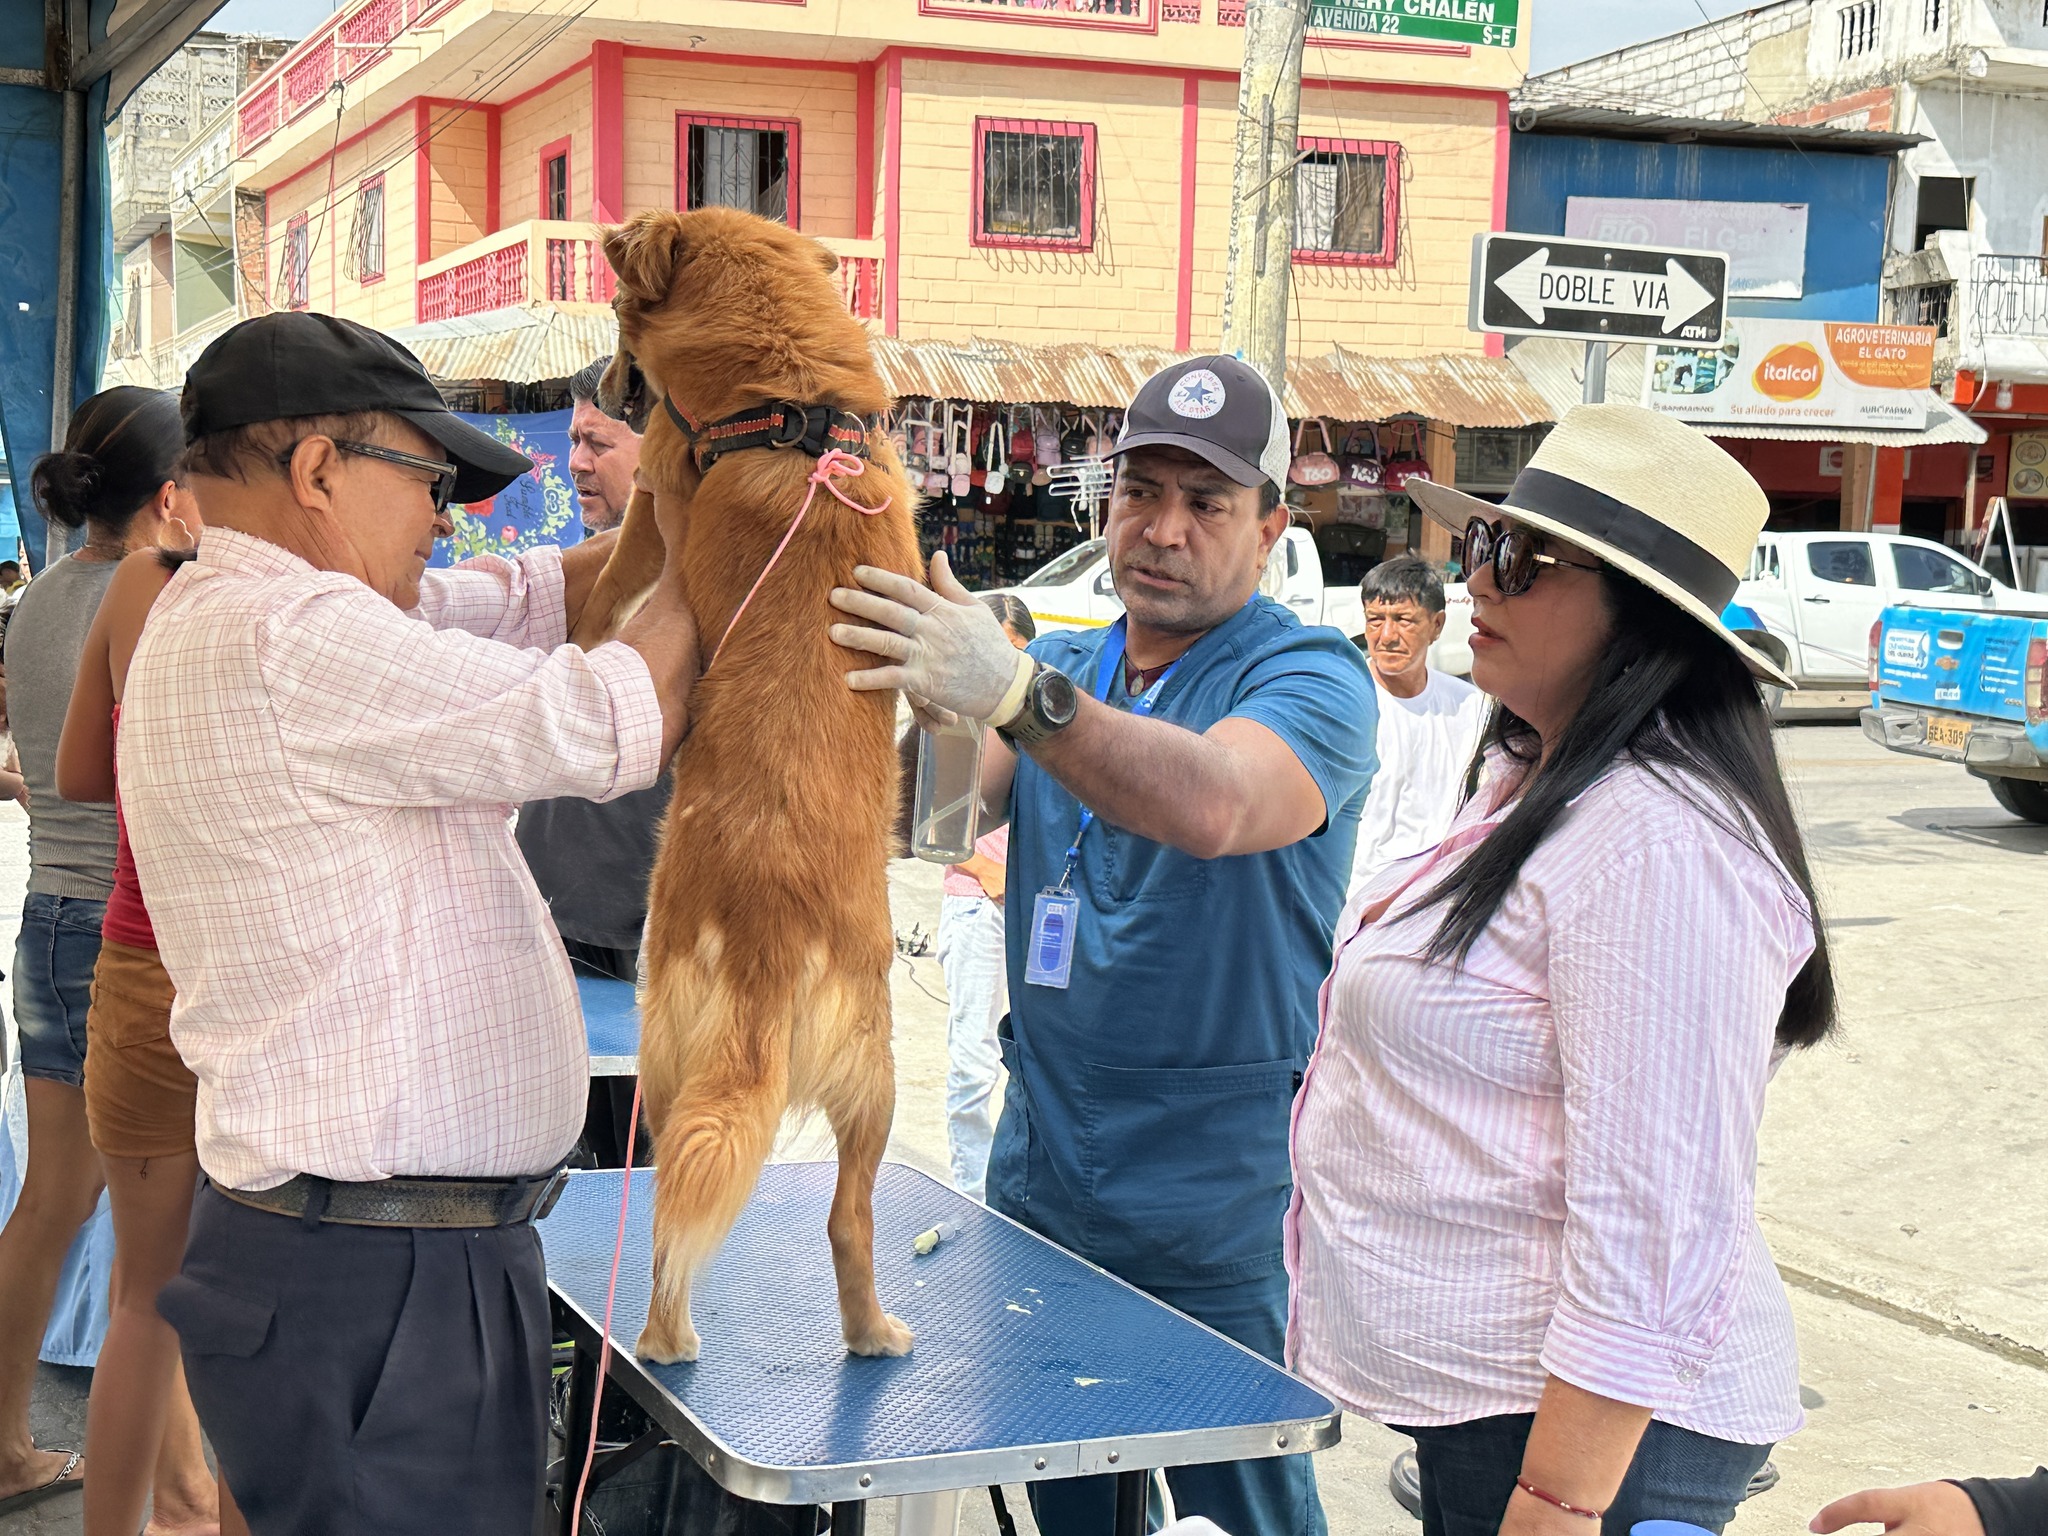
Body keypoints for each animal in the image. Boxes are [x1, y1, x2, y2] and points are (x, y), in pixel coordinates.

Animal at [574, 208, 923, 1362]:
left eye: (614, 315)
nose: (600, 391)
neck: (788, 400)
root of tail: (770, 946)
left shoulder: (652, 491)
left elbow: (610, 576)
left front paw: (581, 628)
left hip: (663, 1053)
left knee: (667, 1204)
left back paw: (662, 1339)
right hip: (875, 1081)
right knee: (848, 1220)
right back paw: (869, 1332)